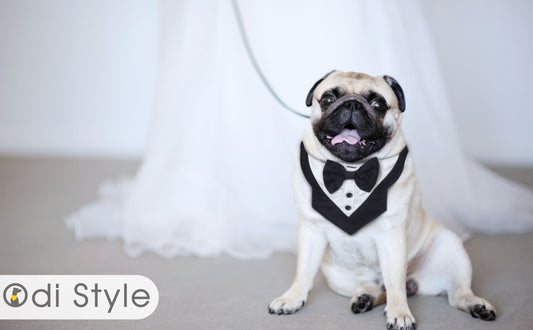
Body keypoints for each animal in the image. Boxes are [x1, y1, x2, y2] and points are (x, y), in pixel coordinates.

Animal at [268, 71, 496, 328]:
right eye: (327, 99)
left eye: (378, 105)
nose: (352, 104)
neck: (351, 170)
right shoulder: (311, 230)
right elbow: (303, 272)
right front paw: (292, 298)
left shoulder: (392, 237)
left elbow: (395, 283)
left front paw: (399, 312)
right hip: (338, 278)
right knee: (376, 289)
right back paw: (364, 298)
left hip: (451, 250)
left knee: (455, 293)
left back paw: (477, 305)